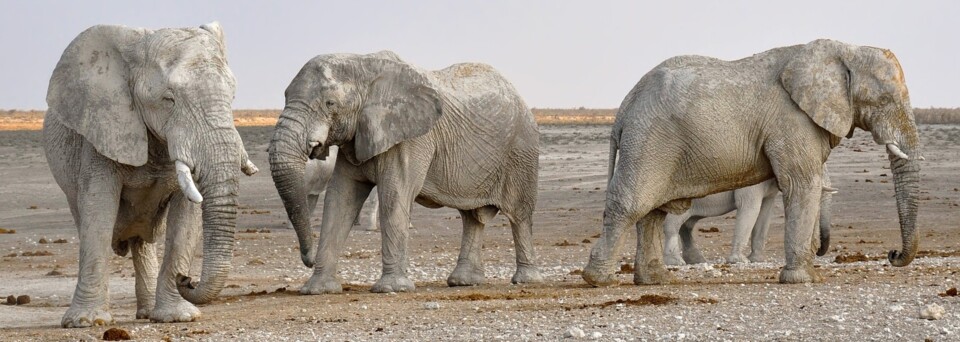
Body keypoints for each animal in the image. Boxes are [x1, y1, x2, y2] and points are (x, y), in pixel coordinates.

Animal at [42, 22, 255, 328]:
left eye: (232, 96)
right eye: (169, 99)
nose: (187, 279)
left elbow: (186, 218)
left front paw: (177, 317)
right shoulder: (101, 130)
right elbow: (98, 210)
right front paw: (86, 322)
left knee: (141, 241)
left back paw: (147, 313)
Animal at [266, 51, 544, 294]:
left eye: (329, 103)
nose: (308, 259)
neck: (363, 64)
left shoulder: (412, 138)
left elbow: (394, 194)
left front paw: (392, 289)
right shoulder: (356, 137)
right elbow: (340, 199)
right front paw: (317, 290)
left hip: (522, 150)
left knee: (519, 214)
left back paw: (525, 280)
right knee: (472, 218)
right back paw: (463, 282)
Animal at [664, 170, 836, 266]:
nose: (818, 251)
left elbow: (765, 212)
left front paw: (757, 260)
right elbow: (750, 207)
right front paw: (740, 261)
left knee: (687, 225)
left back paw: (697, 261)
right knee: (673, 223)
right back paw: (676, 262)